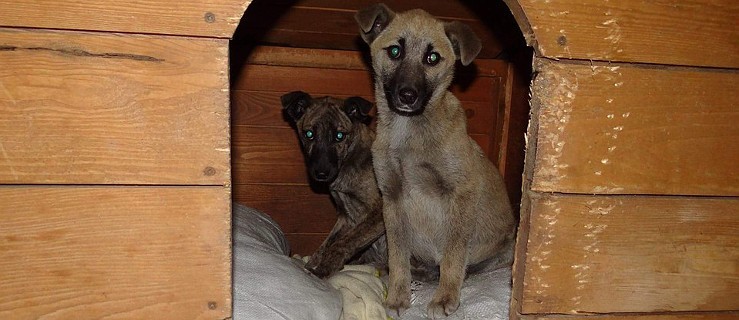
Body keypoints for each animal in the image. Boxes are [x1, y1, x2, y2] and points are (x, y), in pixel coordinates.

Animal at [282, 91, 388, 278]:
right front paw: (310, 266)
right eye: (309, 134)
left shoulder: (379, 211)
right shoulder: (346, 218)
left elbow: (342, 244)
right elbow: (326, 245)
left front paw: (324, 269)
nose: (321, 173)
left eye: (340, 136)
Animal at [356, 4, 516, 318]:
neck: (409, 135)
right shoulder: (392, 199)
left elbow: (453, 253)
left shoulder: (460, 193)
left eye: (433, 58)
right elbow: (397, 257)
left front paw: (444, 297)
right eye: (395, 51)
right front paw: (398, 296)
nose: (408, 95)